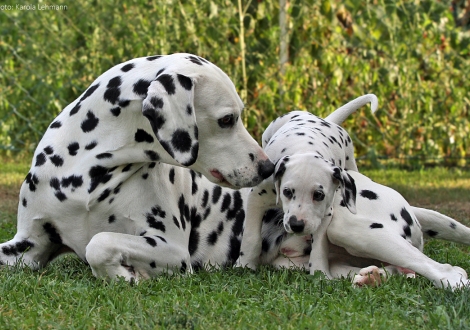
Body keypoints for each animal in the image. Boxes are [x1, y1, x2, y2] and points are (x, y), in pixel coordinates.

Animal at [0, 52, 276, 280]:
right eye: (227, 119)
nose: (268, 168)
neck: (87, 173)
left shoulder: (172, 248)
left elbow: (98, 244)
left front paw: (125, 275)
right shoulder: (28, 244)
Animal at [239, 94, 378, 270]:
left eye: (318, 195)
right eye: (287, 192)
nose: (296, 225)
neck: (305, 149)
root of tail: (324, 120)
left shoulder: (325, 214)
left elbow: (319, 248)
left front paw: (320, 271)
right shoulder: (256, 199)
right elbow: (251, 238)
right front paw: (245, 264)